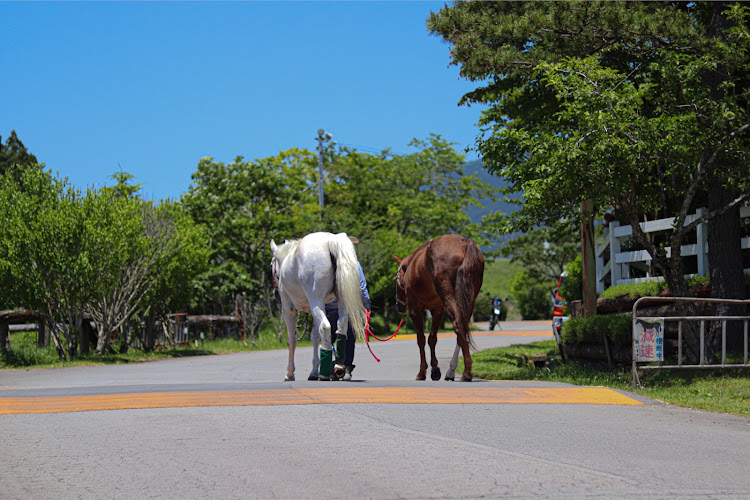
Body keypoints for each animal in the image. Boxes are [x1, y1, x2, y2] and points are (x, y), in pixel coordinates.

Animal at [272, 232, 368, 380]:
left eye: (272, 264)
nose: (276, 294)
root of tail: (331, 241)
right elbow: (315, 337)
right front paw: (313, 370)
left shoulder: (289, 309)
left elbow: (291, 340)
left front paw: (290, 373)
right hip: (339, 299)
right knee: (341, 325)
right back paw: (338, 366)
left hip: (315, 301)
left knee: (325, 326)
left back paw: (324, 373)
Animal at [394, 232, 488, 380]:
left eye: (396, 279)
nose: (398, 305)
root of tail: (464, 242)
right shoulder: (437, 309)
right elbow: (432, 338)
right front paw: (435, 369)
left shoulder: (415, 310)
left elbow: (421, 339)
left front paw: (422, 372)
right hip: (469, 300)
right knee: (463, 328)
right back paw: (452, 371)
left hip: (450, 298)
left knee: (458, 325)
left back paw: (466, 372)